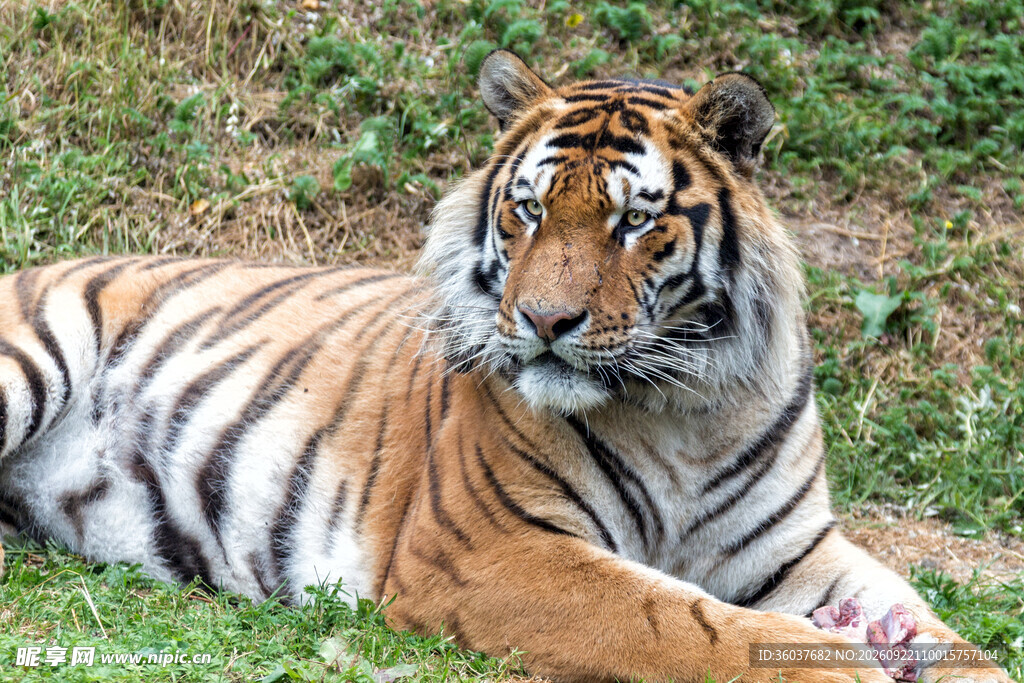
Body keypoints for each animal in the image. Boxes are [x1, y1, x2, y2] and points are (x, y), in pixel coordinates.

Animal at [0, 49, 1011, 683]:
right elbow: (681, 621)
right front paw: (844, 664)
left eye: (634, 220)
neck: (689, 405)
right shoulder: (491, 548)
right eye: (528, 209)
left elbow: (941, 628)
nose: (544, 320)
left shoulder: (798, 548)